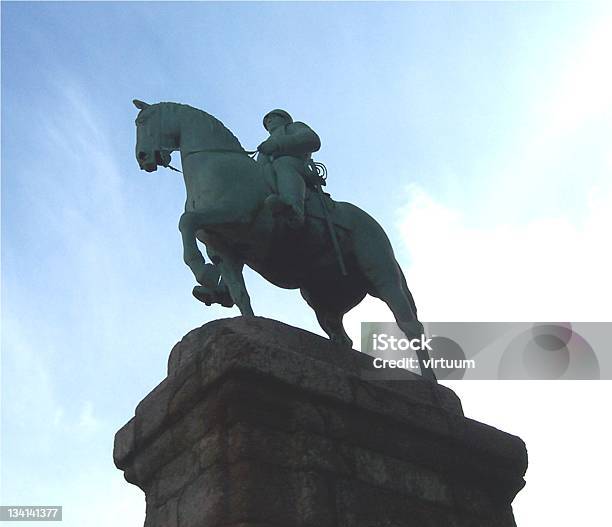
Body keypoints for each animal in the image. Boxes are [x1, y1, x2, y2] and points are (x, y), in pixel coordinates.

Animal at [134, 100, 436, 380]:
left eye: (142, 121)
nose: (142, 157)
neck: (218, 164)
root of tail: (373, 225)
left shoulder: (234, 215)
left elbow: (186, 222)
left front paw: (204, 273)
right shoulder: (225, 250)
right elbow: (240, 293)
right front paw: (231, 305)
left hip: (382, 274)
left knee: (410, 325)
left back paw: (431, 382)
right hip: (323, 298)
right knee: (342, 337)